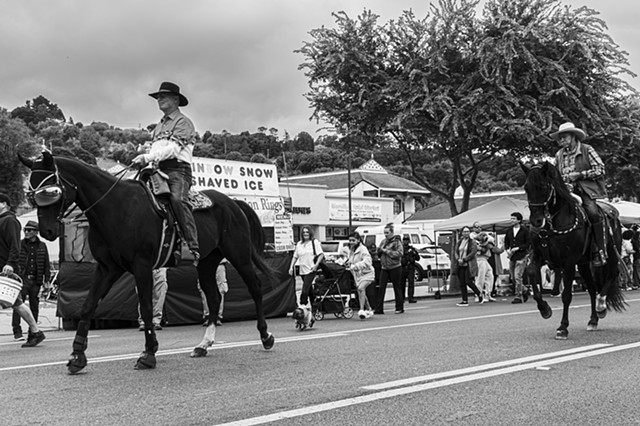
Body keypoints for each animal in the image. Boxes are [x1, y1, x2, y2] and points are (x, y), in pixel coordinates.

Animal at [19, 151, 276, 372]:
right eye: (31, 195)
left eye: (51, 191)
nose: (48, 231)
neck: (115, 208)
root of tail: (234, 203)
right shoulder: (107, 269)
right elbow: (88, 305)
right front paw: (77, 355)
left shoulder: (141, 266)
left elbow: (146, 306)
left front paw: (149, 354)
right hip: (206, 262)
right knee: (212, 298)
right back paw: (203, 345)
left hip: (239, 255)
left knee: (255, 288)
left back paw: (265, 336)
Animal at [524, 162, 624, 340]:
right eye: (526, 187)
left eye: (543, 186)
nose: (536, 221)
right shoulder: (538, 255)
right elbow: (530, 272)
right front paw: (545, 309)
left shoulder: (569, 262)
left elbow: (566, 296)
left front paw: (563, 328)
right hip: (584, 264)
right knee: (592, 288)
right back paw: (593, 320)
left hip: (611, 255)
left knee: (611, 275)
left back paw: (601, 306)